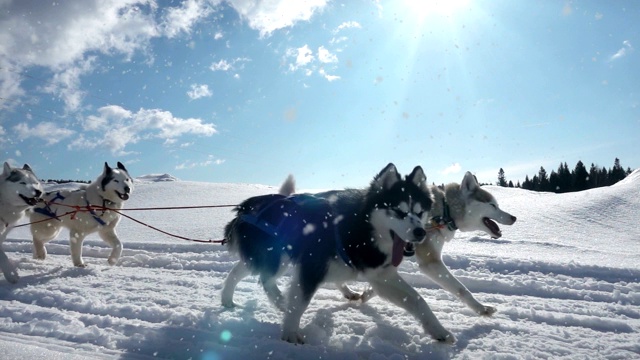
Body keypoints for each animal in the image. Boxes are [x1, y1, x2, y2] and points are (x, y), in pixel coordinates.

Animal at [222, 165, 458, 344]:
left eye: (419, 212)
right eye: (399, 211)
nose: (420, 232)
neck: (361, 227)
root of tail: (248, 205)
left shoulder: (381, 277)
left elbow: (418, 300)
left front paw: (439, 331)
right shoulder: (311, 267)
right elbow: (299, 303)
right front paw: (290, 333)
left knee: (240, 270)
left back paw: (228, 299)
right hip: (277, 256)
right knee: (265, 277)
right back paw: (279, 301)